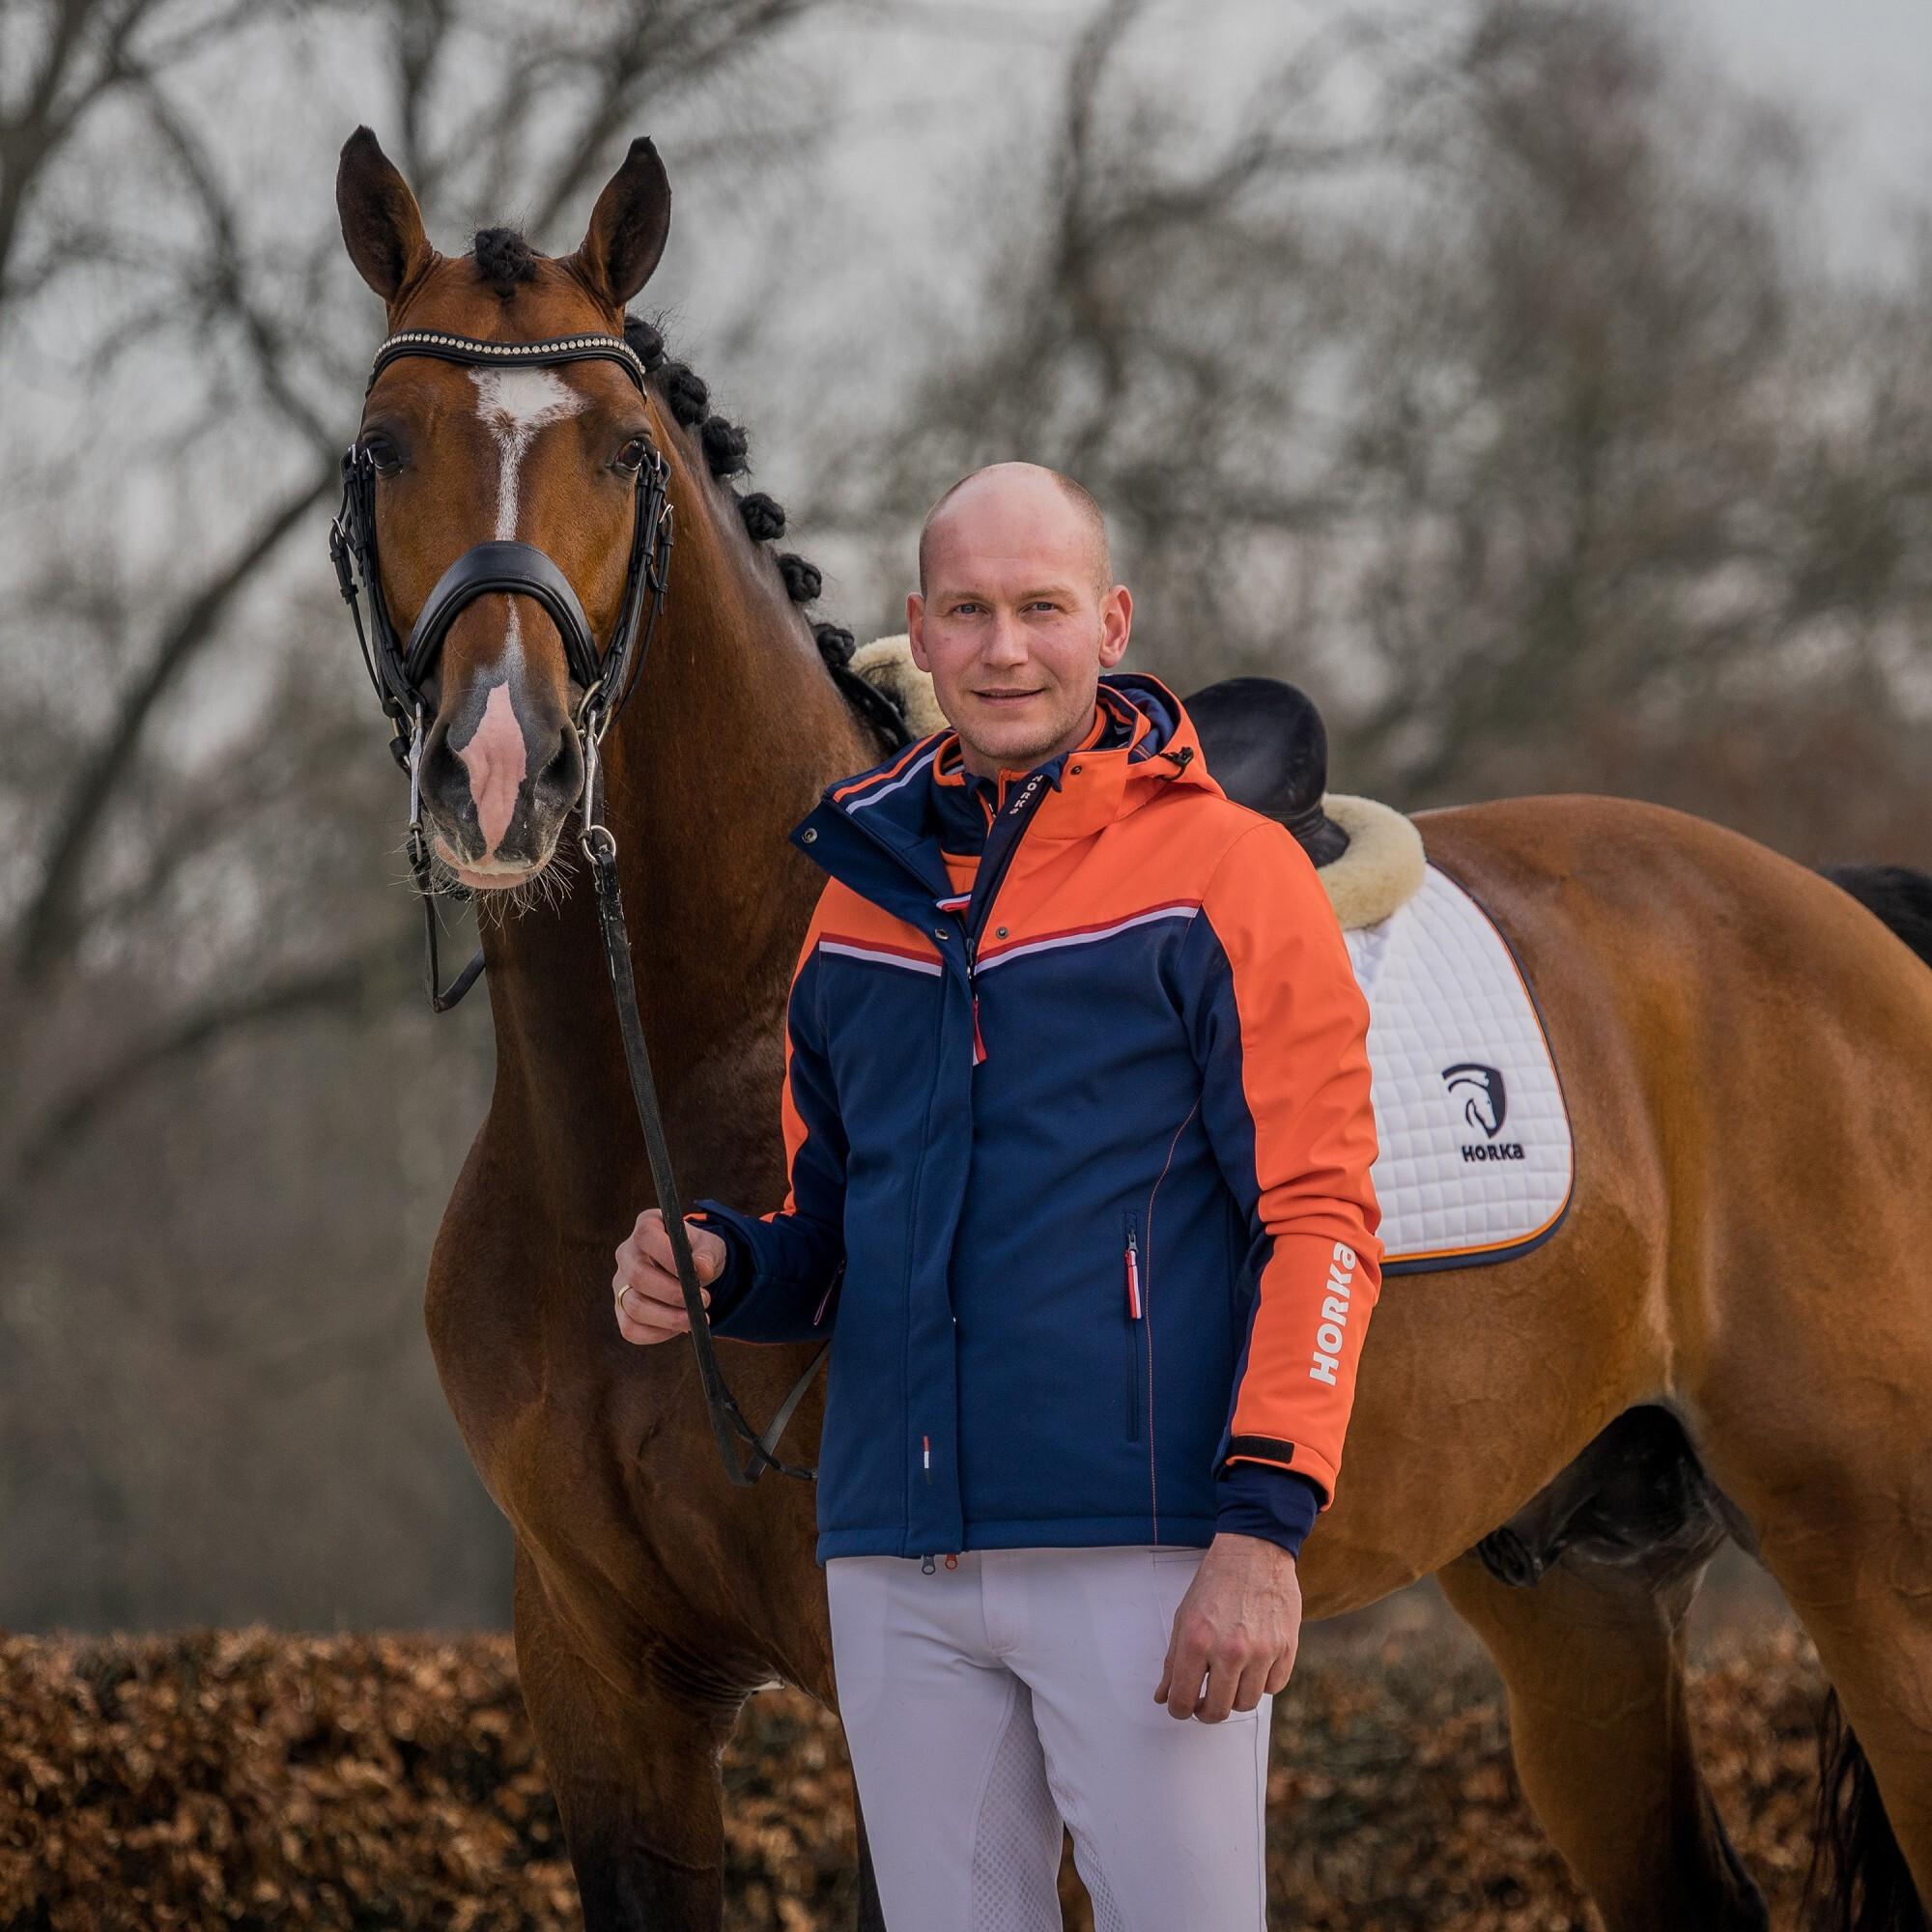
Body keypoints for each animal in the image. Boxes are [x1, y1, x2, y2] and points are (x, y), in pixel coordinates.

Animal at [332, 128, 1932, 1924]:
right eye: (384, 451)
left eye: (621, 457)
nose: (499, 770)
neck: (673, 1069)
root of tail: (1843, 920)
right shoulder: (599, 1680)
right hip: (1577, 1600)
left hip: (1885, 1572)